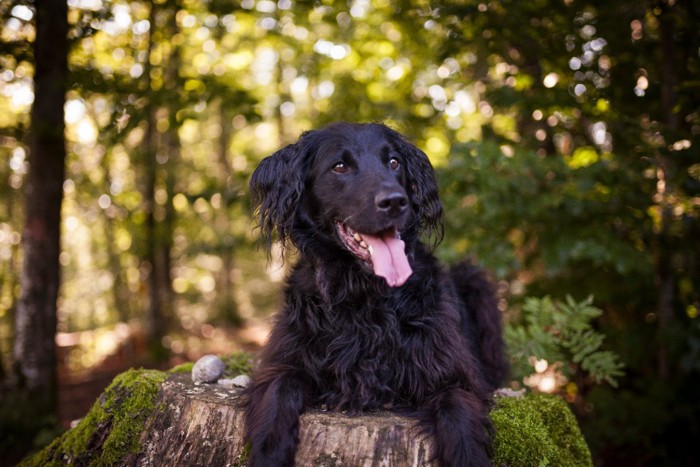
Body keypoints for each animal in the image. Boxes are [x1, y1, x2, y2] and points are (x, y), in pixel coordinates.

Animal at [245, 123, 504, 467]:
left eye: (394, 162)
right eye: (340, 166)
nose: (395, 202)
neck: (363, 293)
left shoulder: (453, 375)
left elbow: (459, 419)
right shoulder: (286, 361)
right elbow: (277, 395)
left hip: (476, 282)